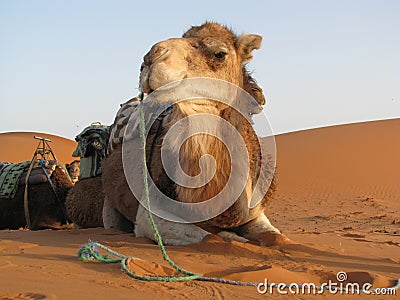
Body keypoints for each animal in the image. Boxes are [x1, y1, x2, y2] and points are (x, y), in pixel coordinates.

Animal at [101, 21, 288, 246]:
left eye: (219, 54)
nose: (150, 58)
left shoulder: (254, 212)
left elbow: (277, 238)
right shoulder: (149, 216)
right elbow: (212, 238)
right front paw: (231, 236)